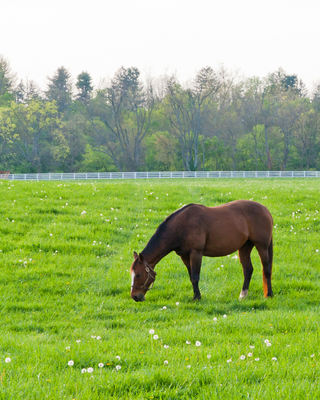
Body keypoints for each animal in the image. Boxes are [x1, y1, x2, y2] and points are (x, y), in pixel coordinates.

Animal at [130, 202, 272, 302]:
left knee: (266, 269)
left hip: (262, 247)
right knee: (248, 270)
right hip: (244, 248)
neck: (181, 226)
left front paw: (197, 298)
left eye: (138, 275)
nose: (135, 297)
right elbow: (191, 276)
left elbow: (195, 277)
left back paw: (269, 294)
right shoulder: (185, 256)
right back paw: (243, 295)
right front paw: (196, 296)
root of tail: (265, 209)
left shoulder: (196, 253)